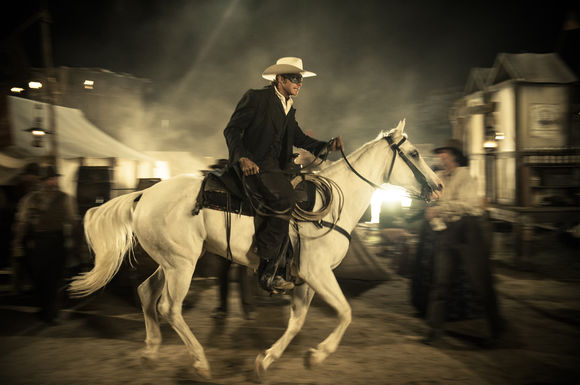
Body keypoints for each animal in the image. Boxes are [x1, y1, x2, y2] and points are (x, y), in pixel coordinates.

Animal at [69, 120, 440, 378]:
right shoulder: (317, 272)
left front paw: (268, 360)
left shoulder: (305, 279)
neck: (335, 203)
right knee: (169, 308)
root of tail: (144, 194)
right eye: (415, 154)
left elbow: (297, 321)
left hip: (171, 261)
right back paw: (200, 362)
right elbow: (345, 313)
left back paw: (150, 351)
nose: (438, 187)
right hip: (182, 265)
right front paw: (318, 354)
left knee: (146, 293)